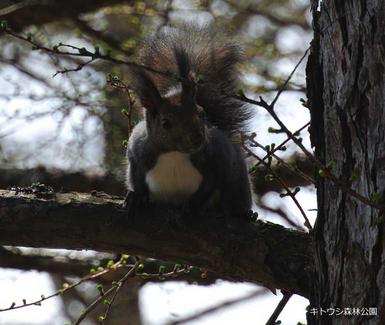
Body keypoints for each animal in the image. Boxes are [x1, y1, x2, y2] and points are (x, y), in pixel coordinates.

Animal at [124, 24, 254, 219]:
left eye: (202, 113)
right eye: (165, 123)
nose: (198, 138)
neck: (174, 153)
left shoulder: (217, 157)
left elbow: (210, 185)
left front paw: (192, 205)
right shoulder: (137, 151)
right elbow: (136, 178)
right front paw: (136, 197)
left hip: (239, 182)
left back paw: (245, 214)